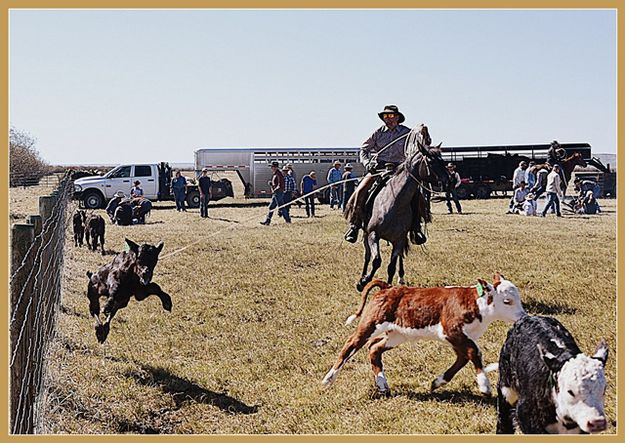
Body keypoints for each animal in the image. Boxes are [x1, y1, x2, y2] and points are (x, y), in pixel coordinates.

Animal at [320, 274, 524, 396]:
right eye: (507, 301)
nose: (523, 316)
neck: (476, 304)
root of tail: (388, 287)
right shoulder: (451, 330)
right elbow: (474, 352)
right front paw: (484, 385)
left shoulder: (458, 338)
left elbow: (463, 358)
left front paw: (436, 383)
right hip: (370, 323)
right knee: (350, 345)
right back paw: (328, 379)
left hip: (397, 334)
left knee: (374, 348)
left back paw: (382, 385)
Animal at [356, 140, 448, 292]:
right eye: (430, 161)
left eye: (442, 161)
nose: (448, 180)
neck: (394, 203)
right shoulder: (373, 234)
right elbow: (376, 261)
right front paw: (363, 281)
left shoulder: (399, 240)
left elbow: (391, 267)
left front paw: (388, 288)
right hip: (366, 233)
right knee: (368, 256)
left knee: (399, 258)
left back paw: (401, 278)